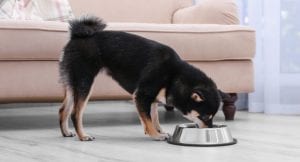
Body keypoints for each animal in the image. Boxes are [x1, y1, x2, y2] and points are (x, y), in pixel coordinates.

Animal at [58, 15, 227, 141]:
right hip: (85, 81)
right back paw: (83, 136)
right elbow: (148, 119)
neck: (174, 74)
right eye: (205, 116)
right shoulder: (142, 95)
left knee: (63, 109)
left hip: (73, 83)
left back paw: (66, 132)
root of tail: (77, 35)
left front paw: (160, 130)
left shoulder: (152, 97)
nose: (210, 129)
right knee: (75, 113)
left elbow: (154, 116)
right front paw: (155, 135)